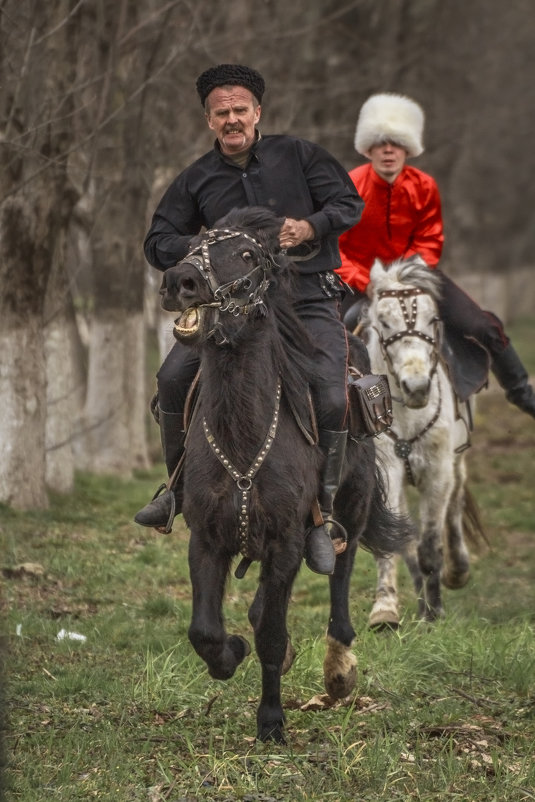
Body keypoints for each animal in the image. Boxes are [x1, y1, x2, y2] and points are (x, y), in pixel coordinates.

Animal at [161, 206, 408, 744]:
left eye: (247, 253)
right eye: (189, 245)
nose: (180, 281)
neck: (245, 440)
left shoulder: (287, 544)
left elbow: (271, 633)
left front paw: (271, 721)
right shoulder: (206, 538)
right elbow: (205, 630)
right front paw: (230, 655)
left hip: (351, 510)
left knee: (342, 572)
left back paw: (339, 670)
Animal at [362, 256, 484, 624]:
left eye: (432, 319)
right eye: (384, 322)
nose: (416, 387)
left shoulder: (437, 471)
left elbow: (431, 544)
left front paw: (434, 612)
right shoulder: (386, 472)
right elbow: (395, 541)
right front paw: (385, 609)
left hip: (456, 460)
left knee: (456, 502)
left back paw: (457, 571)